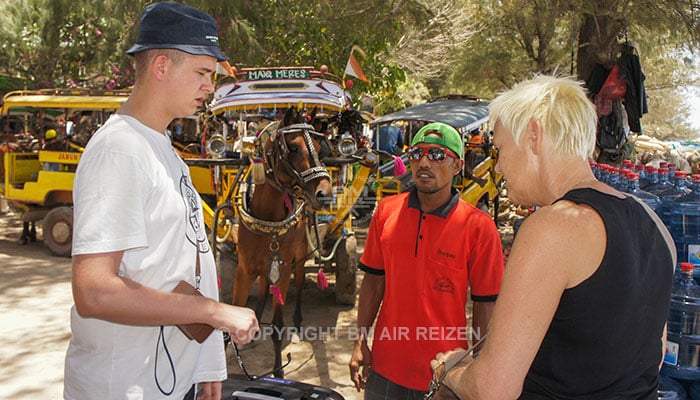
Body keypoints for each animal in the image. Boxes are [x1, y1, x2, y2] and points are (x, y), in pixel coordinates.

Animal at [232, 105, 334, 376]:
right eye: (293, 148)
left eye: (320, 149)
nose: (325, 194)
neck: (267, 218)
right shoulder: (244, 269)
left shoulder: (283, 268)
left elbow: (278, 327)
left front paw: (277, 372)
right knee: (263, 288)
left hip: (297, 258)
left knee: (298, 284)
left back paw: (297, 323)